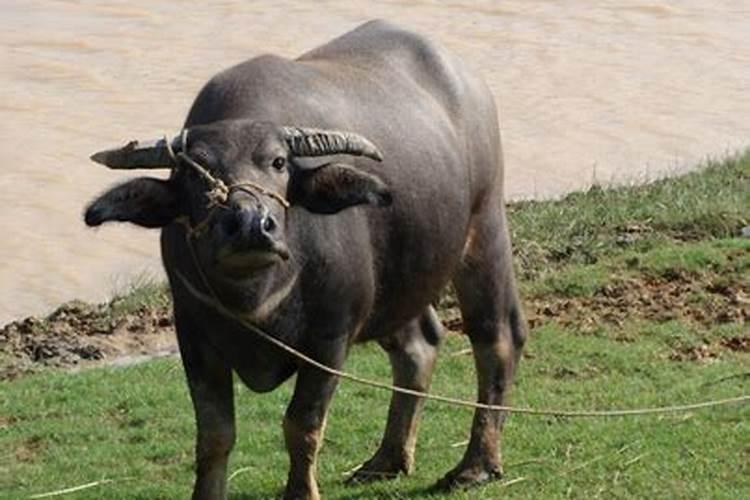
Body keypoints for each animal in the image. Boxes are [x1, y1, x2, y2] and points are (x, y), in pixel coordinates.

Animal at [83, 19, 528, 500]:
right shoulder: (194, 337)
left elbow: (301, 425)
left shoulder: (330, 338)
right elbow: (215, 435)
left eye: (279, 162)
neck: (256, 295)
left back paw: (476, 465)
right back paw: (387, 459)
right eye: (196, 173)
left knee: (497, 338)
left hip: (485, 228)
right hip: (400, 278)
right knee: (419, 345)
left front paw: (301, 490)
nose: (250, 224)